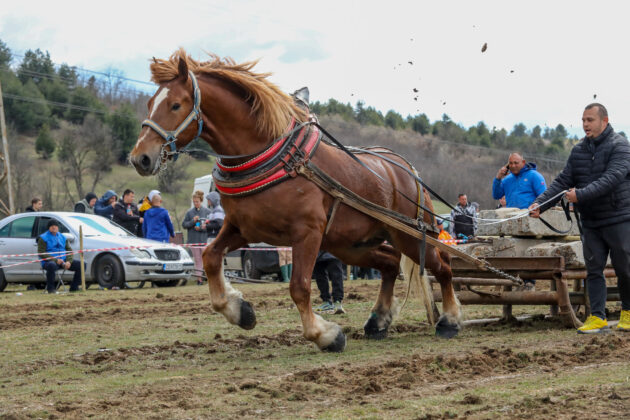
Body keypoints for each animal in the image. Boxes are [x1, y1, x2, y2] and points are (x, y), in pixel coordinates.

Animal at [129, 49, 461, 352]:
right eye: (150, 103)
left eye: (175, 104)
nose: (140, 158)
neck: (275, 157)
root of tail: (405, 168)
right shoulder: (243, 229)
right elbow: (211, 256)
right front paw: (240, 311)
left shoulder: (307, 233)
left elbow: (299, 286)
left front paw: (324, 335)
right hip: (350, 245)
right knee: (391, 265)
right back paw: (378, 321)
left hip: (410, 236)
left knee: (443, 266)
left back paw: (449, 320)